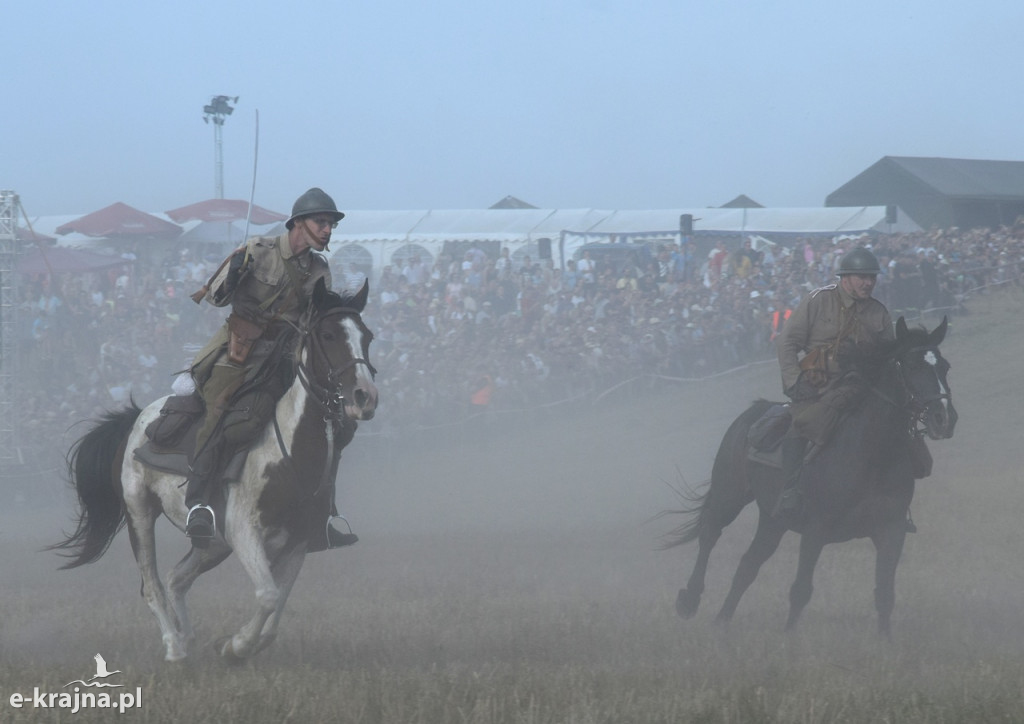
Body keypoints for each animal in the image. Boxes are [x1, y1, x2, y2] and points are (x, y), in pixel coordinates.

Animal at [49, 278, 378, 663]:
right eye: (327, 335)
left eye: (367, 336)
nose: (364, 397)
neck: (288, 454)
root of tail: (135, 419)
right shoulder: (245, 533)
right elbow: (267, 595)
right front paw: (234, 646)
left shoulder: (298, 542)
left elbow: (276, 609)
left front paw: (239, 645)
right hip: (140, 513)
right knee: (153, 584)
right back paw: (175, 647)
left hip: (212, 543)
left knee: (177, 578)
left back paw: (187, 636)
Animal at [667, 319, 954, 639]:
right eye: (912, 365)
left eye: (944, 366)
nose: (944, 418)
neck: (870, 454)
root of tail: (749, 415)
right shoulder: (816, 531)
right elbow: (801, 590)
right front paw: (789, 638)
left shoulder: (891, 531)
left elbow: (884, 593)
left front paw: (885, 641)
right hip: (728, 496)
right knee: (710, 534)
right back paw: (689, 599)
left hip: (773, 521)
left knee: (747, 565)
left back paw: (722, 621)